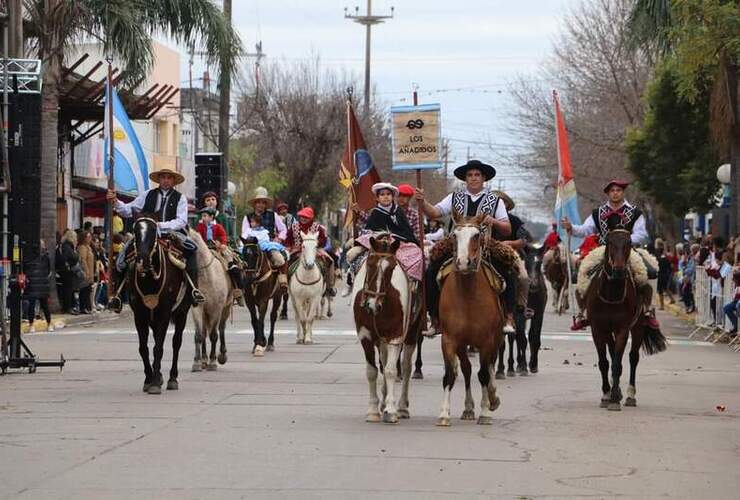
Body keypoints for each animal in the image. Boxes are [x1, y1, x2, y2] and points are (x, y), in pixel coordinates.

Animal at [352, 236, 422, 424]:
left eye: (391, 268)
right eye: (370, 263)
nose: (372, 305)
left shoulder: (395, 336)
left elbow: (391, 371)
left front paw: (391, 409)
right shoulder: (365, 336)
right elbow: (372, 372)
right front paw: (373, 410)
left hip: (411, 333)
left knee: (405, 367)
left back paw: (402, 407)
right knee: (383, 363)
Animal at [436, 211, 506, 426]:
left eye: (477, 235)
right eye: (454, 235)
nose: (463, 263)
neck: (468, 295)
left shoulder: (487, 341)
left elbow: (483, 374)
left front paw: (485, 412)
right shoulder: (449, 340)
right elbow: (450, 375)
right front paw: (444, 414)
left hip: (495, 340)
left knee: (489, 368)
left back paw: (492, 398)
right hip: (462, 345)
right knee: (467, 369)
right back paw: (468, 408)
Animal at [588, 229, 668, 410]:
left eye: (629, 243)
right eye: (610, 242)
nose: (618, 270)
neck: (611, 294)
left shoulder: (623, 329)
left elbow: (618, 363)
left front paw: (614, 399)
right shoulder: (598, 329)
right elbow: (604, 362)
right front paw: (607, 394)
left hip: (638, 327)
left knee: (633, 358)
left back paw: (630, 395)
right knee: (612, 354)